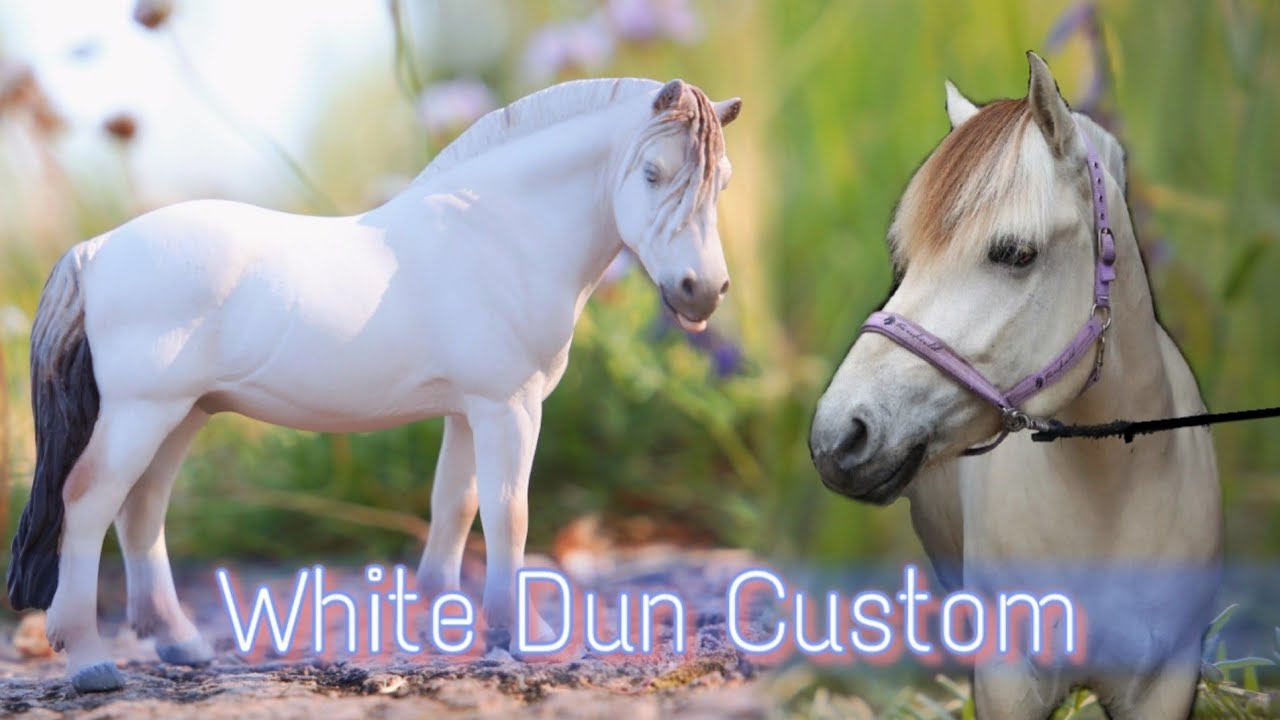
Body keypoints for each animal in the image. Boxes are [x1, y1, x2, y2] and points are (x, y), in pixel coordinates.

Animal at [7, 77, 742, 692]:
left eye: (723, 183)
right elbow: (508, 513)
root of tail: (95, 251)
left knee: (140, 512)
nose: (700, 292)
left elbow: (455, 510)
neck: (500, 234)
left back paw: (179, 644)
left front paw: (445, 631)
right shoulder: (508, 407)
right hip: (143, 413)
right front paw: (518, 640)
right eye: (652, 172)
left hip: (183, 415)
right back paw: (91, 661)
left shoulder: (468, 411)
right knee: (87, 501)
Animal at [810, 53, 1220, 718]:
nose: (838, 437)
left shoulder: (1166, 682)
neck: (1110, 501)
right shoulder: (1007, 680)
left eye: (1014, 253)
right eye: (905, 260)